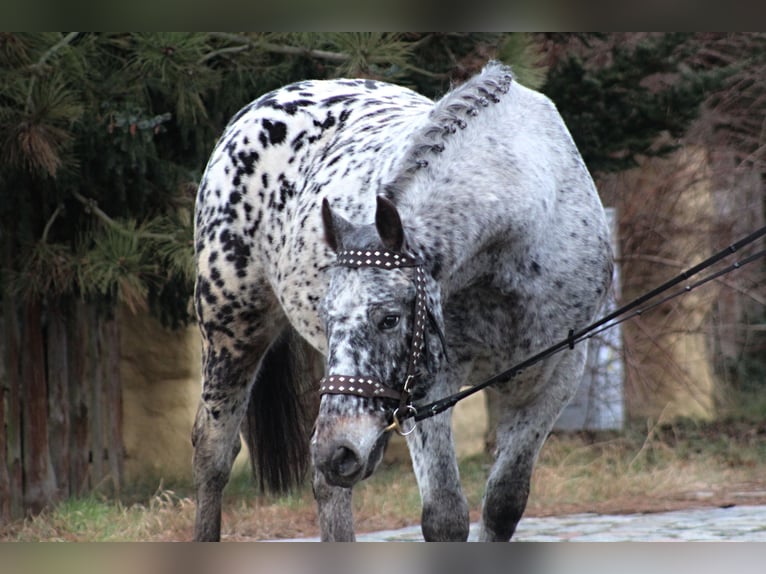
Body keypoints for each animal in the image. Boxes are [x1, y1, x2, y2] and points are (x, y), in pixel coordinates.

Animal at [195, 60, 616, 544]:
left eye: (390, 319)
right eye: (328, 315)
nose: (339, 449)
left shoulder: (554, 378)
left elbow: (503, 505)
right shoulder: (429, 385)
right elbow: (445, 517)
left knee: (326, 484)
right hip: (231, 330)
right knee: (214, 454)